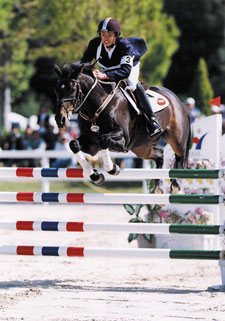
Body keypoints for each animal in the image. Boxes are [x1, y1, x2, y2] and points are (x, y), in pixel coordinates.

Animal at [54, 61, 190, 191]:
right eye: (56, 90)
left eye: (72, 89)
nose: (60, 120)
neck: (96, 108)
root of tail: (178, 100)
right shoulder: (92, 144)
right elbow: (74, 144)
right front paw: (95, 176)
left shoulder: (123, 140)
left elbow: (103, 139)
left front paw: (112, 168)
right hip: (142, 148)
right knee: (159, 155)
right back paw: (157, 187)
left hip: (176, 139)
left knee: (180, 155)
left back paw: (176, 185)